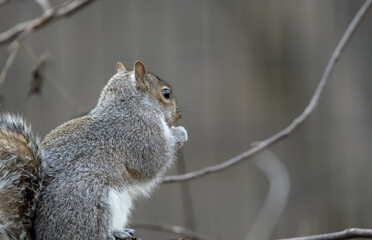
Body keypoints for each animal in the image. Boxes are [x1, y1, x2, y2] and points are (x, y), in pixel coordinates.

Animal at [0, 61, 186, 239]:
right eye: (166, 93)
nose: (179, 115)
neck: (129, 106)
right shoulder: (141, 136)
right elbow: (153, 163)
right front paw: (179, 133)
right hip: (92, 202)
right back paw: (114, 233)